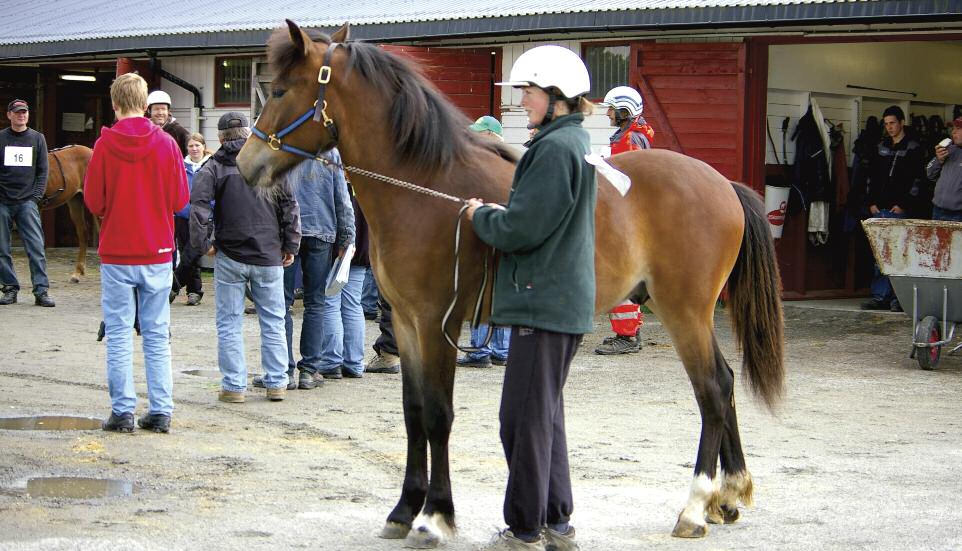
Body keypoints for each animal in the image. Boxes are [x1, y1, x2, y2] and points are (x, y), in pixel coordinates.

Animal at [236, 21, 784, 548]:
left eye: (280, 89)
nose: (245, 164)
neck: (425, 186)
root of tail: (722, 183)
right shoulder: (407, 323)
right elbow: (413, 413)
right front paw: (403, 509)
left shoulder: (436, 324)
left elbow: (438, 415)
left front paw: (434, 517)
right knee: (725, 384)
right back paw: (727, 496)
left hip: (683, 311)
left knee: (711, 389)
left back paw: (694, 507)